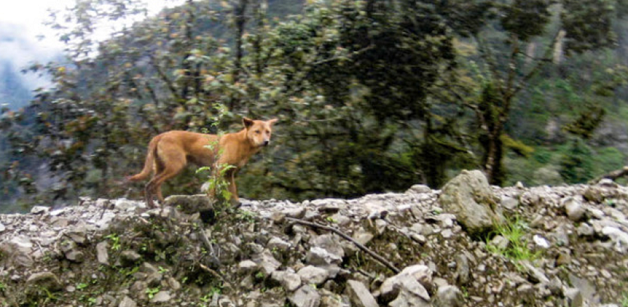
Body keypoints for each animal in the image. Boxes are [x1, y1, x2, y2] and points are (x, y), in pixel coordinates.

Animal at [126, 118, 276, 209]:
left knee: (153, 184)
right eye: (257, 131)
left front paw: (236, 203)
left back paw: (159, 203)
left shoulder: (229, 173)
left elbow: (232, 190)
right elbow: (212, 190)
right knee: (152, 184)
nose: (266, 142)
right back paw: (153, 205)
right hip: (176, 167)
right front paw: (211, 203)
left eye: (267, 132)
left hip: (161, 168)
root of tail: (160, 135)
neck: (242, 144)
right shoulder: (217, 168)